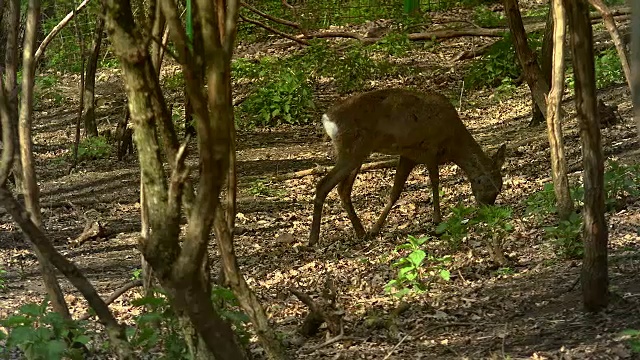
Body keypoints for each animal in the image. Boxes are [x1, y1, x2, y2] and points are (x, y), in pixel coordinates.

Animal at [308, 88, 504, 245]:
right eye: (491, 185)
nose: (487, 208)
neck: (453, 143)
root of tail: (327, 120)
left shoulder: (408, 155)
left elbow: (395, 193)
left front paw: (375, 229)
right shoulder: (429, 148)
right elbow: (435, 182)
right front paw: (437, 220)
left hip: (358, 153)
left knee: (343, 189)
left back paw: (361, 232)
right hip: (352, 150)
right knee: (323, 185)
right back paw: (313, 239)